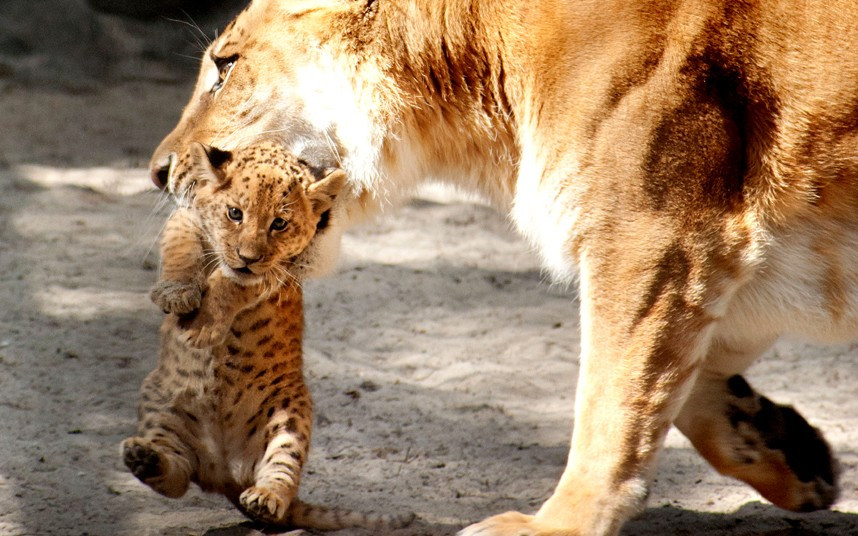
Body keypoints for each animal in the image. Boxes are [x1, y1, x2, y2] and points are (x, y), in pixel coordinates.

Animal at [149, 1, 855, 534]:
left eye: (225, 66)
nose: (157, 173)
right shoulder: (736, 256)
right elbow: (680, 386)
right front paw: (788, 449)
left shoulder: (656, 234)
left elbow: (611, 401)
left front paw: (558, 525)